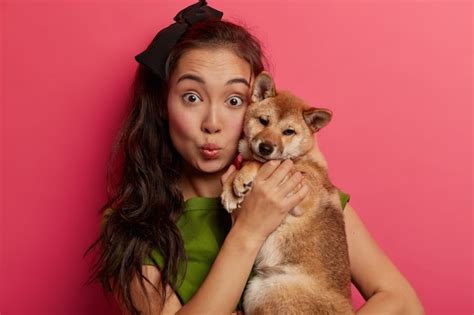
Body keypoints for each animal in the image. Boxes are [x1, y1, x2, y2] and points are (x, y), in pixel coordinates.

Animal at [220, 72, 354, 315]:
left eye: (288, 132)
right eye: (264, 121)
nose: (265, 147)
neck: (303, 156)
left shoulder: (302, 189)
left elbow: (266, 163)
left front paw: (243, 176)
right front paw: (230, 192)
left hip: (266, 288)